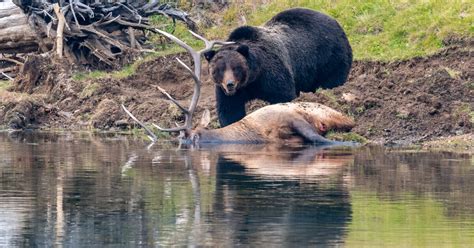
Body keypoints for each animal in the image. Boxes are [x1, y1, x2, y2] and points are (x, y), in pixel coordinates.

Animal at [204, 7, 352, 127]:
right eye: (219, 70)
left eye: (236, 68)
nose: (230, 84)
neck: (253, 79)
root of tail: (333, 19)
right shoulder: (228, 91)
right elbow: (230, 109)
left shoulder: (271, 74)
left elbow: (283, 95)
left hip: (328, 55)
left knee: (333, 77)